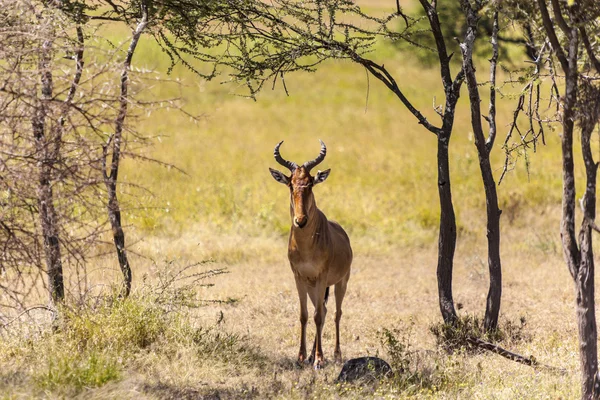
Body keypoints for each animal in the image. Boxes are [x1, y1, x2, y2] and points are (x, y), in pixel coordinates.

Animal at [268, 140, 352, 368]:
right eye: (291, 184)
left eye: (310, 183)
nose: (301, 220)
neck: (306, 246)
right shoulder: (299, 277)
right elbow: (305, 315)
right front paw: (301, 357)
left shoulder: (322, 277)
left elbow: (318, 317)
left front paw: (319, 359)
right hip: (313, 286)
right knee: (322, 310)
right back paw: (312, 355)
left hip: (340, 282)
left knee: (335, 313)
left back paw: (335, 355)